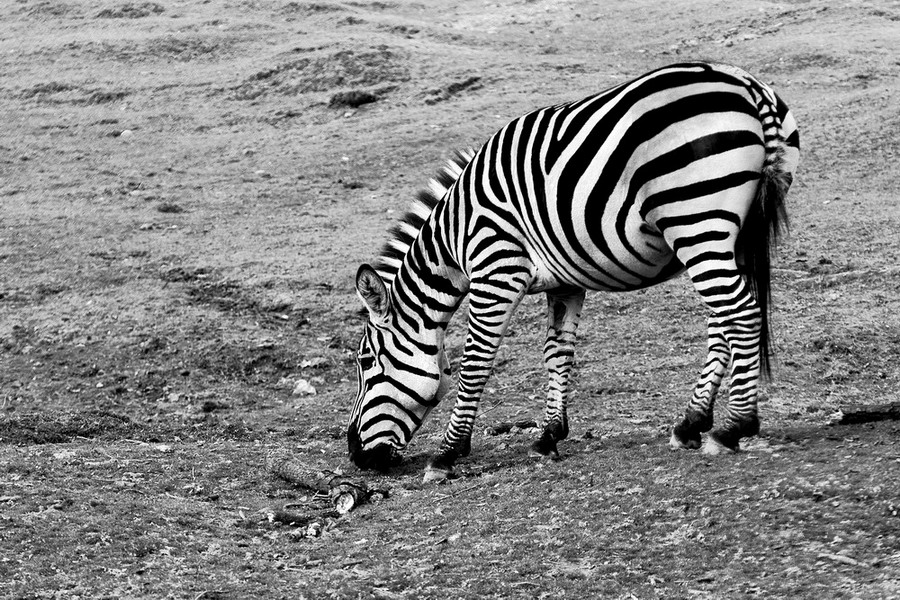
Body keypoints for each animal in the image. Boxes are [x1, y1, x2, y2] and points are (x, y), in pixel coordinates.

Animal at [348, 61, 800, 482]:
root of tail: (748, 86)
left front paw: (447, 453)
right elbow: (557, 350)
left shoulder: (496, 269)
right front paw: (549, 435)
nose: (354, 456)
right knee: (723, 319)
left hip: (695, 220)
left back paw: (733, 427)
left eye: (366, 361)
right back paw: (691, 423)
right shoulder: (565, 283)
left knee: (741, 312)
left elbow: (476, 361)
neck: (454, 237)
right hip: (729, 232)